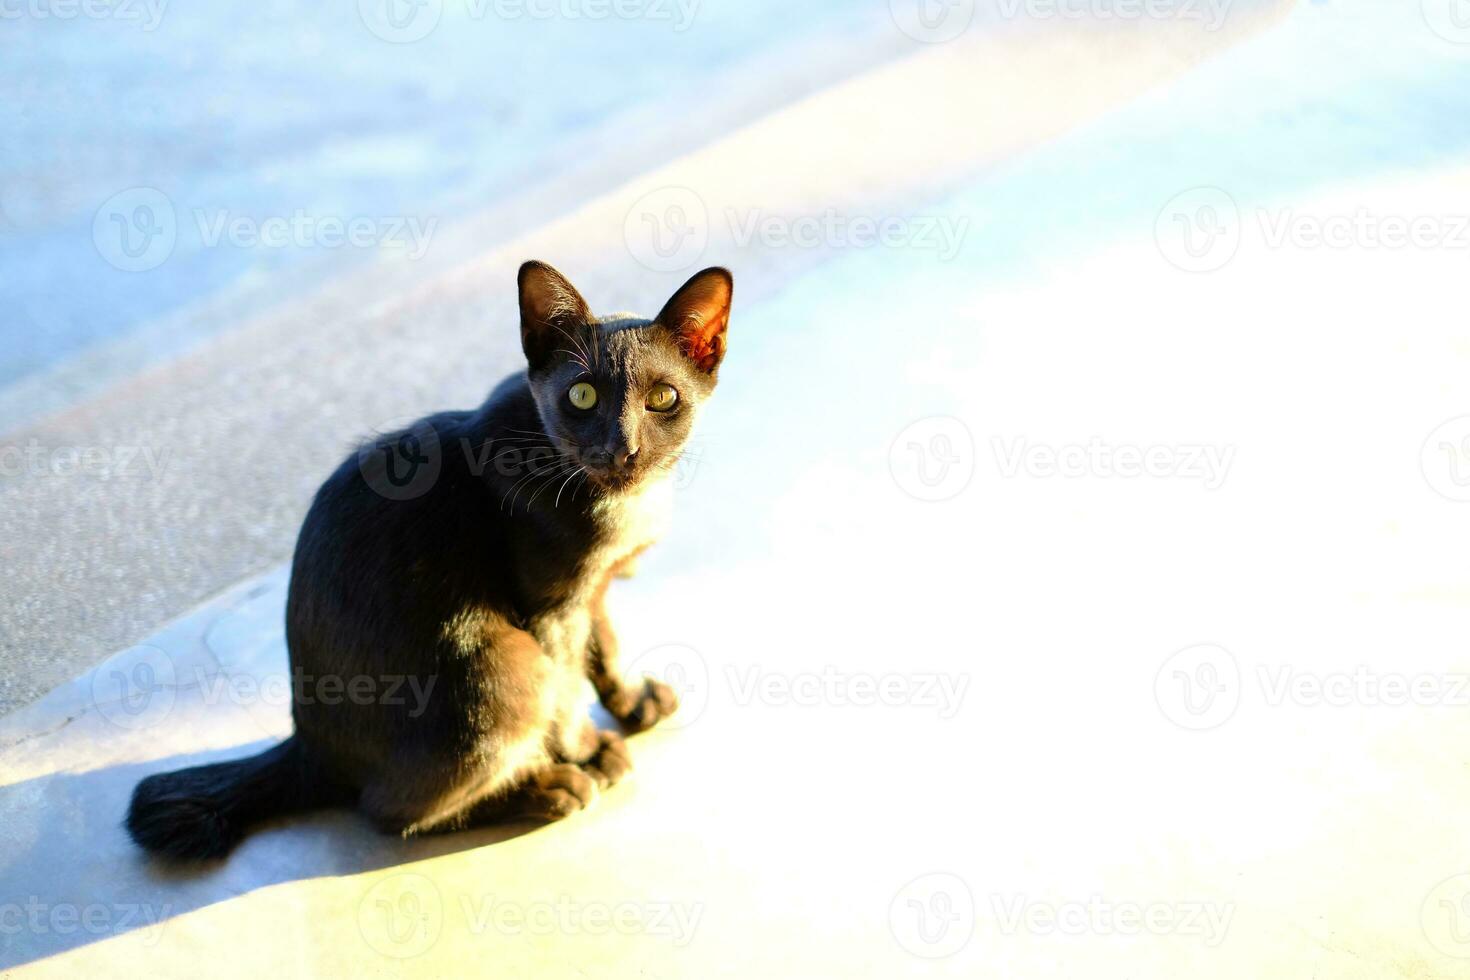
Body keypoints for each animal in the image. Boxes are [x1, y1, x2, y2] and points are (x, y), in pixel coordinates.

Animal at [127, 260, 735, 858]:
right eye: (582, 395)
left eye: (663, 398)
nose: (622, 448)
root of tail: (310, 745)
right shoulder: (550, 609)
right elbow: (567, 685)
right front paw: (586, 750)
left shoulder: (593, 590)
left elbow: (603, 647)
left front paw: (632, 704)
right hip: (501, 665)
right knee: (387, 811)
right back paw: (550, 787)